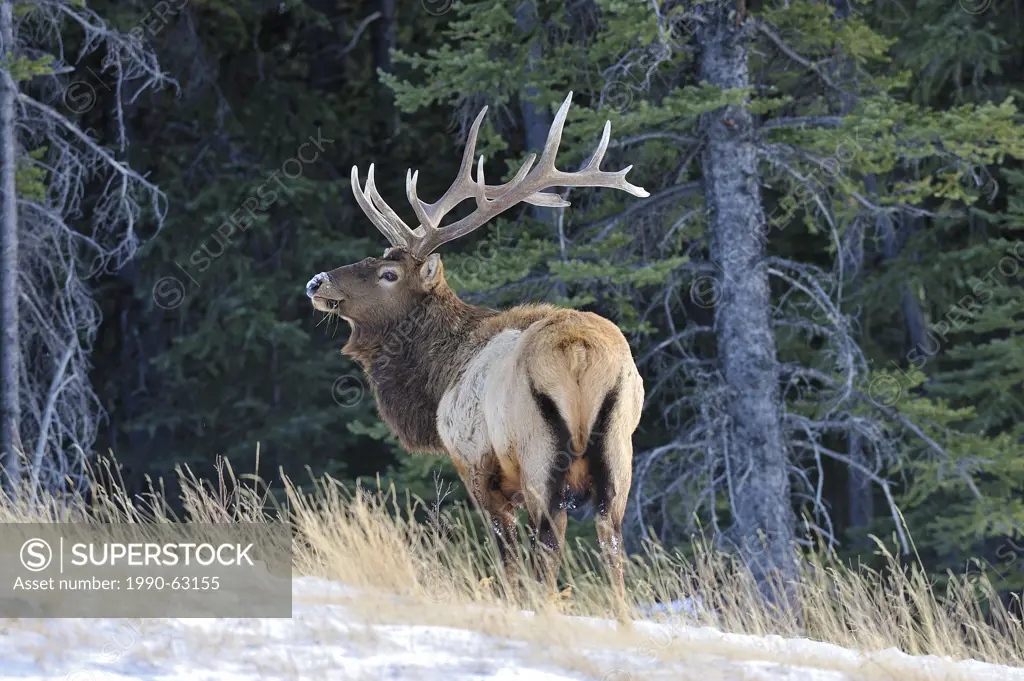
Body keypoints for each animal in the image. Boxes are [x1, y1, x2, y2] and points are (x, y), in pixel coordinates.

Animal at [307, 91, 647, 610]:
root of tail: (579, 352)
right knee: (612, 547)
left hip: (539, 454)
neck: (438, 376)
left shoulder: (476, 465)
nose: (316, 282)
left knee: (548, 547)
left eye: (389, 274)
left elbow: (507, 563)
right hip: (618, 454)